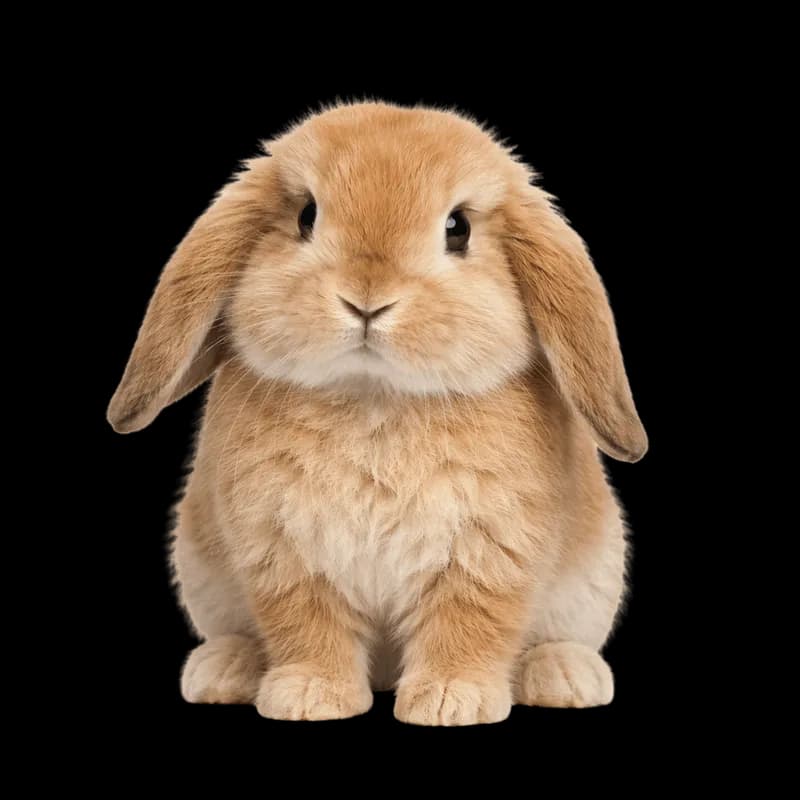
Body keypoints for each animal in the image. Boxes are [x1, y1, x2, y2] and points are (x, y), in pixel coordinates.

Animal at [107, 101, 647, 726]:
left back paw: (564, 676)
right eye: (307, 215)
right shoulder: (286, 552)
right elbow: (306, 624)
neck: (377, 398)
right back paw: (225, 670)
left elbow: (471, 622)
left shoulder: (488, 554)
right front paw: (310, 695)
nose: (367, 298)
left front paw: (450, 700)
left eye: (458, 229)